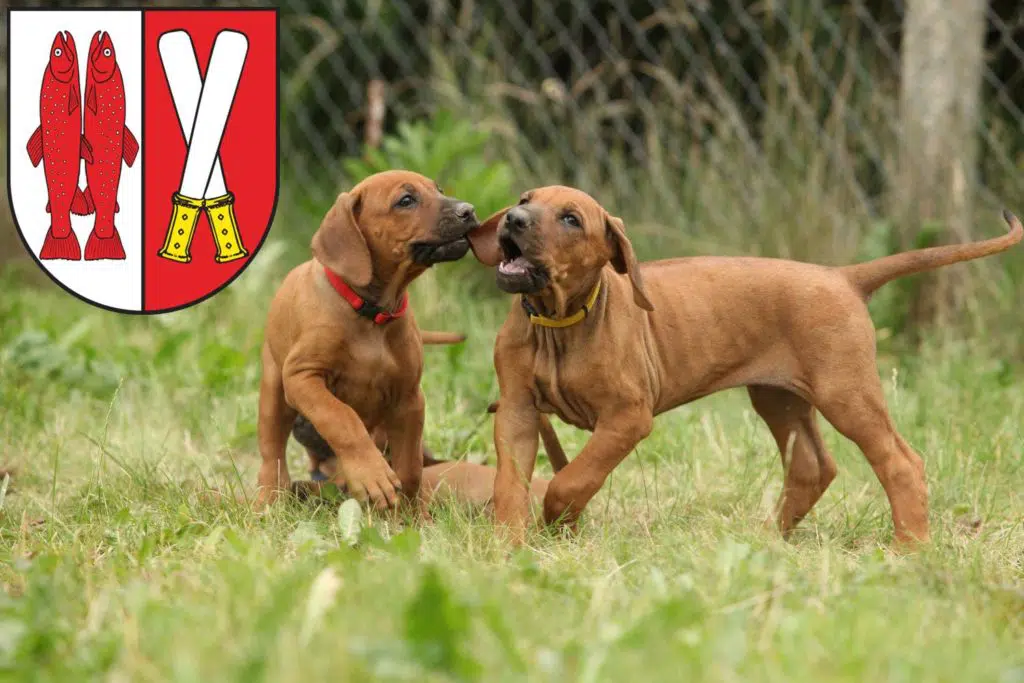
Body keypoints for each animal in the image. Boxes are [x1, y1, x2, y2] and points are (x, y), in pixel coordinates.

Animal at [256, 171, 479, 509]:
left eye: (438, 189)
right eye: (406, 201)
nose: (469, 210)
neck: (371, 313)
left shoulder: (409, 398)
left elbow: (410, 465)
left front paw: (411, 514)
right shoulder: (302, 377)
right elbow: (341, 418)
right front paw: (371, 475)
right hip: (274, 391)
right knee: (273, 455)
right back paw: (268, 500)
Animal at [468, 185, 1019, 544]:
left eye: (571, 219)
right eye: (524, 200)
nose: (513, 221)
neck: (560, 322)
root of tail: (843, 277)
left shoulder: (627, 417)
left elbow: (573, 478)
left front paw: (557, 520)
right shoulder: (517, 411)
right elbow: (510, 482)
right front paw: (508, 545)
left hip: (846, 394)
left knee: (901, 463)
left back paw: (911, 549)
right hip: (781, 398)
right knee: (812, 466)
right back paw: (770, 542)